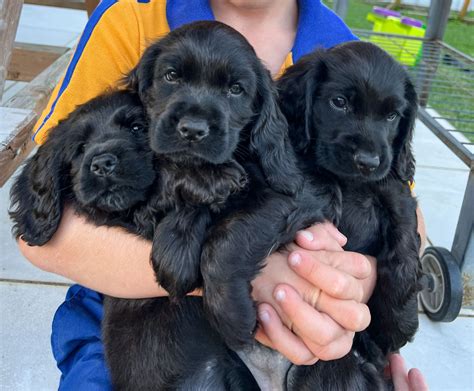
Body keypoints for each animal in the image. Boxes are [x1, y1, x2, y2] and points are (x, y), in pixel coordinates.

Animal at [276, 41, 420, 390]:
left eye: (392, 115)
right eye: (339, 102)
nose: (367, 161)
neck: (352, 182)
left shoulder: (395, 189)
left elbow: (404, 250)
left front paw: (398, 322)